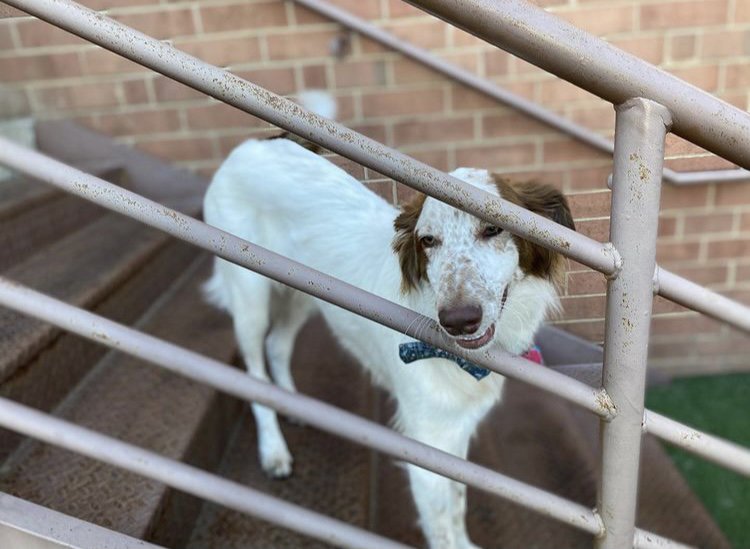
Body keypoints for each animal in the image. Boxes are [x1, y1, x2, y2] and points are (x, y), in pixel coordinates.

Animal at [202, 92, 575, 549]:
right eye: (428, 241)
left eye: (493, 229)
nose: (458, 321)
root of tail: (259, 142)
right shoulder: (427, 446)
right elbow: (442, 526)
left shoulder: (456, 435)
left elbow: (457, 505)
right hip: (250, 295)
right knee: (254, 370)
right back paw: (273, 448)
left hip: (302, 293)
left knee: (277, 346)